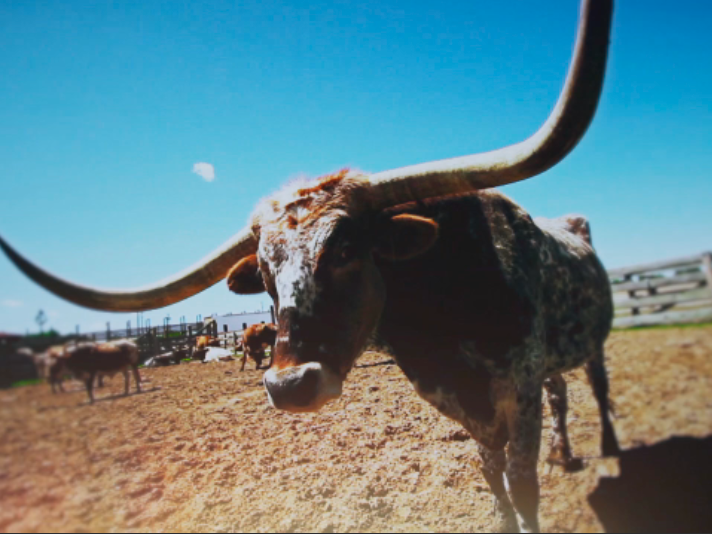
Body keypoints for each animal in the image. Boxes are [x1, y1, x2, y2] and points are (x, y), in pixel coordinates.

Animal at [0, 1, 615, 530]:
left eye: (344, 250)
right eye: (266, 276)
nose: (291, 384)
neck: (451, 301)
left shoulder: (518, 389)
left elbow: (521, 482)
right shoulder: (464, 402)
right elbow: (492, 474)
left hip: (590, 347)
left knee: (596, 386)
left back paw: (607, 445)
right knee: (563, 394)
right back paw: (566, 452)